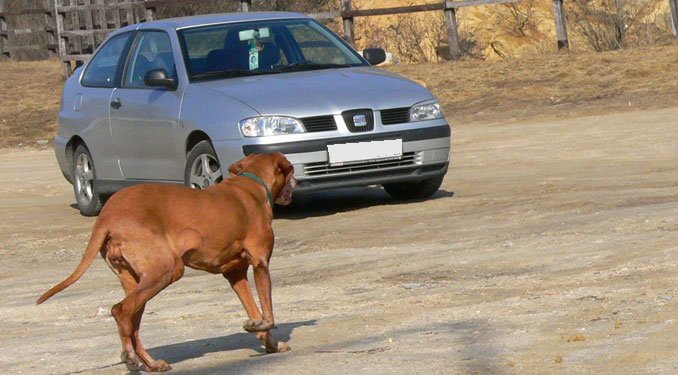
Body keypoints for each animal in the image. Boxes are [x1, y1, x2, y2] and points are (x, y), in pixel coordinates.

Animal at [36, 153, 298, 374]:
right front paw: (265, 330)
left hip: (135, 279)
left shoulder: (235, 274)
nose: (296, 183)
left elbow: (255, 312)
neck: (252, 183)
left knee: (132, 322)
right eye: (291, 170)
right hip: (168, 270)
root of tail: (107, 216)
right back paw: (130, 356)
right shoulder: (261, 264)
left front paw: (269, 343)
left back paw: (150, 363)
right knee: (120, 310)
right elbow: (269, 315)